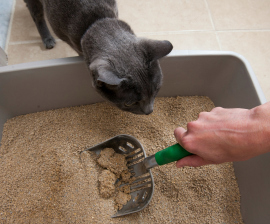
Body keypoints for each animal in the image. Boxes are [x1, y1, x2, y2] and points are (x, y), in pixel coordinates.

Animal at [25, 0, 173, 114]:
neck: (97, 21)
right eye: (129, 104)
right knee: (37, 15)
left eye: (157, 90)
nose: (149, 112)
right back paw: (48, 39)